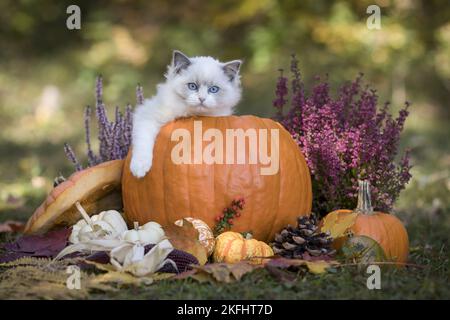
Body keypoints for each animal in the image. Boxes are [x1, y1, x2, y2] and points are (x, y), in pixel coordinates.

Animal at [130, 51, 243, 179]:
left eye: (213, 89)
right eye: (192, 86)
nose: (202, 99)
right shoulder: (147, 115)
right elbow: (143, 142)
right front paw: (139, 168)